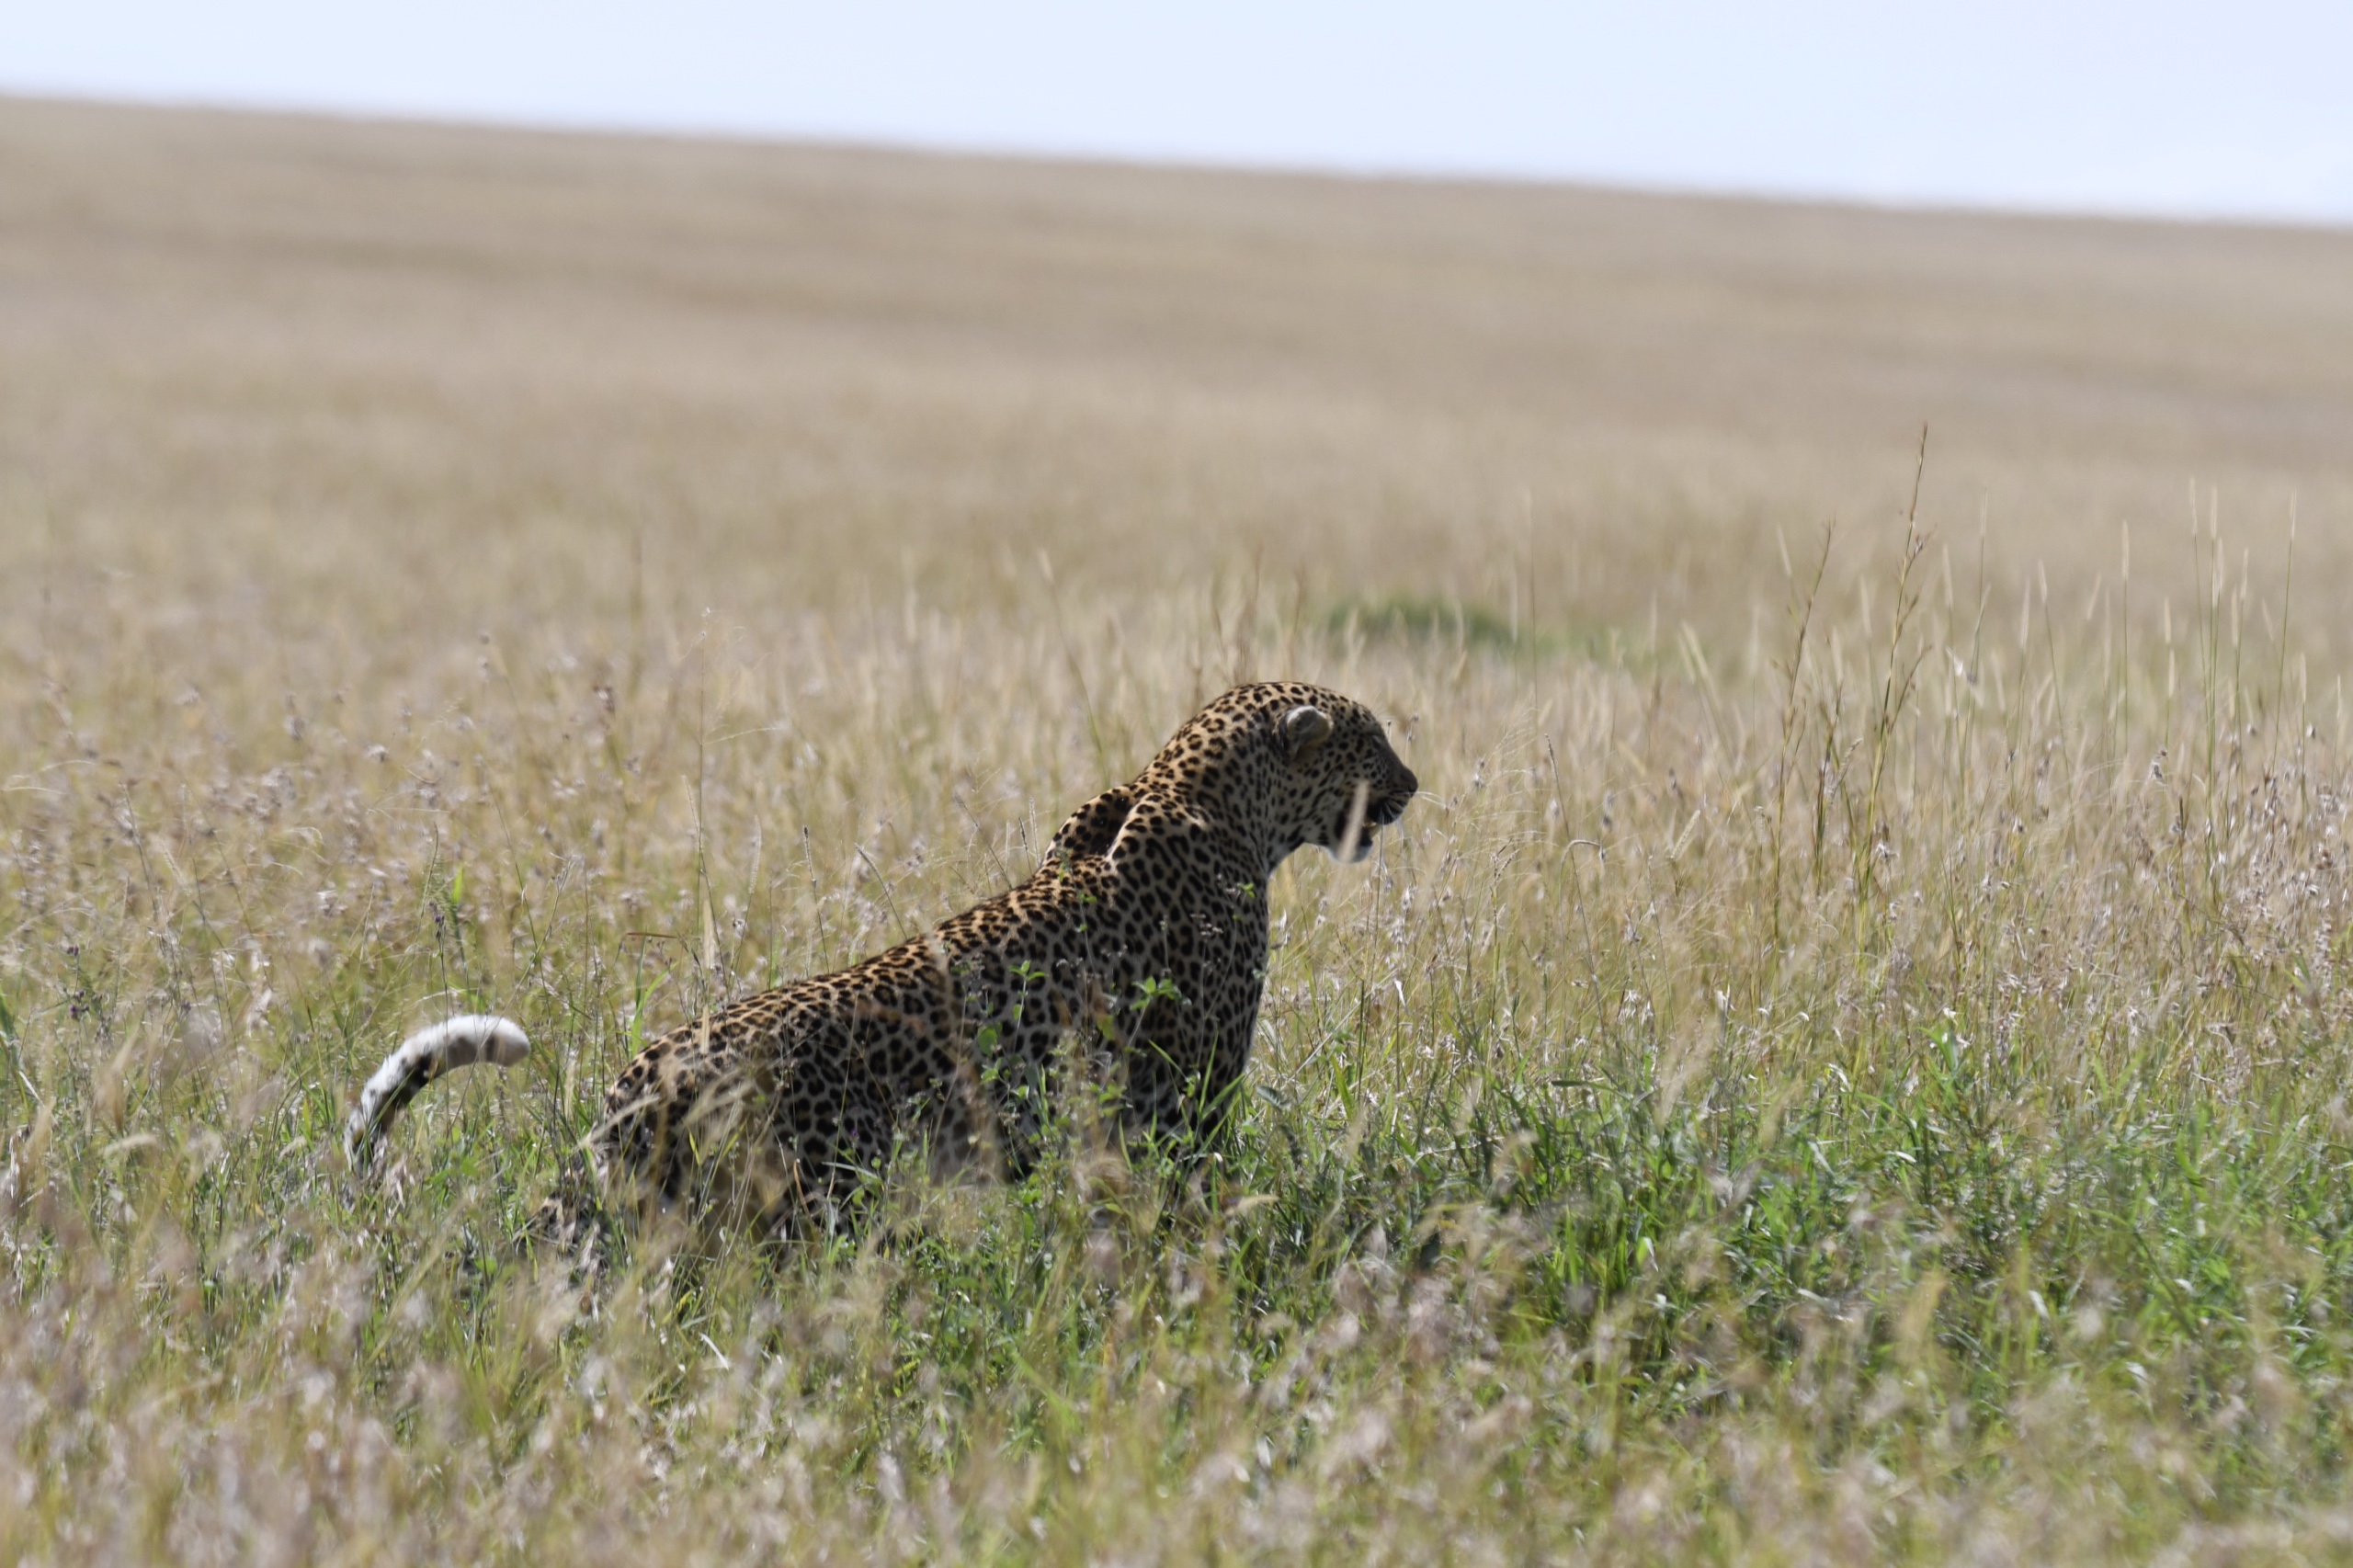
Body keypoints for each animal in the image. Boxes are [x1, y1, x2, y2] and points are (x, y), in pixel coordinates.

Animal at [345, 680, 1418, 1243]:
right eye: (1370, 741)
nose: (1412, 783)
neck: (1191, 789)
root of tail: (645, 1072)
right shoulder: (1186, 1104)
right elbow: (1189, 1194)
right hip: (808, 1203)